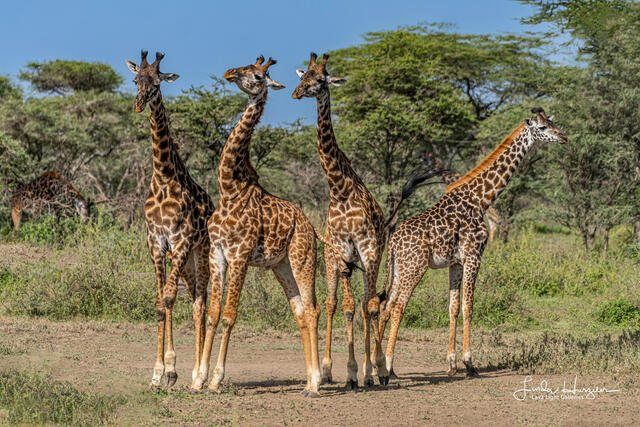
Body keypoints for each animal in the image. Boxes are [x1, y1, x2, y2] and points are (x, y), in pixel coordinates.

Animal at [126, 51, 214, 388]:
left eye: (157, 82)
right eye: (136, 79)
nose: (139, 103)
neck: (163, 178)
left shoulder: (180, 241)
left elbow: (168, 298)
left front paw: (173, 371)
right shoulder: (156, 243)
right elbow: (160, 302)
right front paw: (158, 373)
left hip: (201, 255)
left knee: (201, 303)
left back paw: (199, 374)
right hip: (187, 263)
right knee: (193, 300)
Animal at [191, 56, 322, 397]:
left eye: (259, 75)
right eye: (245, 65)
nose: (229, 73)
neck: (229, 188)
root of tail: (311, 226)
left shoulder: (239, 256)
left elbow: (229, 316)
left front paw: (215, 381)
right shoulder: (217, 255)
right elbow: (212, 315)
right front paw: (197, 380)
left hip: (303, 259)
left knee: (313, 310)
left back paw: (317, 384)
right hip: (281, 266)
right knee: (300, 312)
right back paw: (309, 380)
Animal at [292, 52, 386, 389]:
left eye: (321, 80)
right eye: (303, 75)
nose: (295, 93)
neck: (339, 189)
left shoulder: (367, 250)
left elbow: (367, 306)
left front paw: (372, 370)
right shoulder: (343, 253)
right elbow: (346, 308)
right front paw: (351, 372)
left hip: (371, 257)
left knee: (370, 304)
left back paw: (377, 369)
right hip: (331, 260)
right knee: (333, 304)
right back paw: (330, 369)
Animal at [376, 108, 567, 384]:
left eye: (552, 123)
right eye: (541, 128)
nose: (563, 137)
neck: (481, 199)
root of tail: (392, 241)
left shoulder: (456, 262)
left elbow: (453, 307)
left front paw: (451, 364)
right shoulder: (474, 255)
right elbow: (469, 306)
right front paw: (469, 363)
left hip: (399, 269)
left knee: (385, 305)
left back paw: (377, 365)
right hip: (415, 267)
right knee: (398, 306)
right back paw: (388, 368)